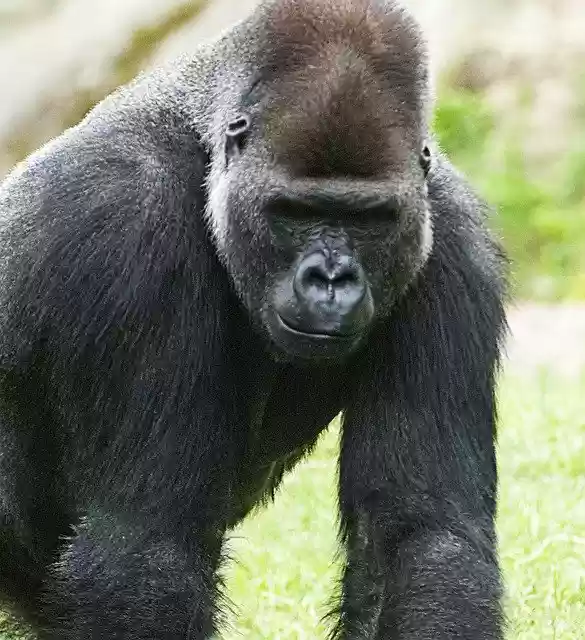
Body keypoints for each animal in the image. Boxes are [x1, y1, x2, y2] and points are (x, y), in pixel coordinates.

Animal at [0, 0, 507, 638]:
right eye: (295, 212)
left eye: (370, 219)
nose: (332, 280)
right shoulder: (127, 224)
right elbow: (143, 551)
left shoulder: (452, 242)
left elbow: (422, 539)